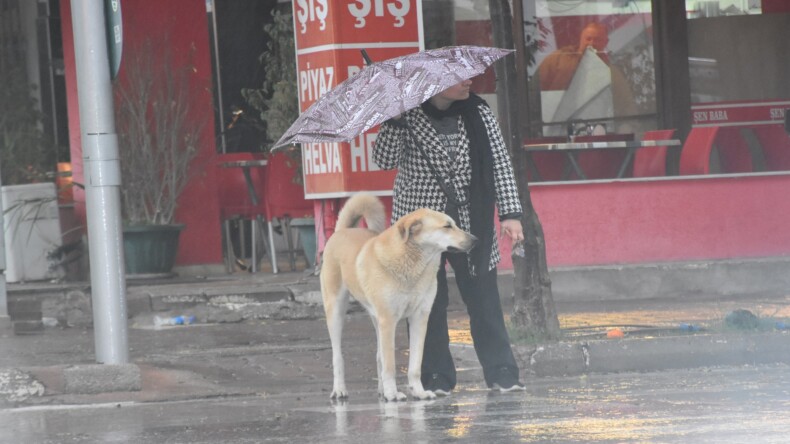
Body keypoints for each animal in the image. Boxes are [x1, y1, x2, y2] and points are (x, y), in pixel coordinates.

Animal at [322, 193, 476, 400]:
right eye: (447, 226)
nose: (475, 239)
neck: (413, 263)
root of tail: (342, 231)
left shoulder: (420, 317)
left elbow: (414, 364)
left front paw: (418, 392)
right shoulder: (388, 320)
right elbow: (390, 365)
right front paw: (392, 394)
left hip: (375, 318)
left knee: (379, 355)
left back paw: (381, 390)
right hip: (336, 312)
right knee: (338, 356)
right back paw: (340, 389)